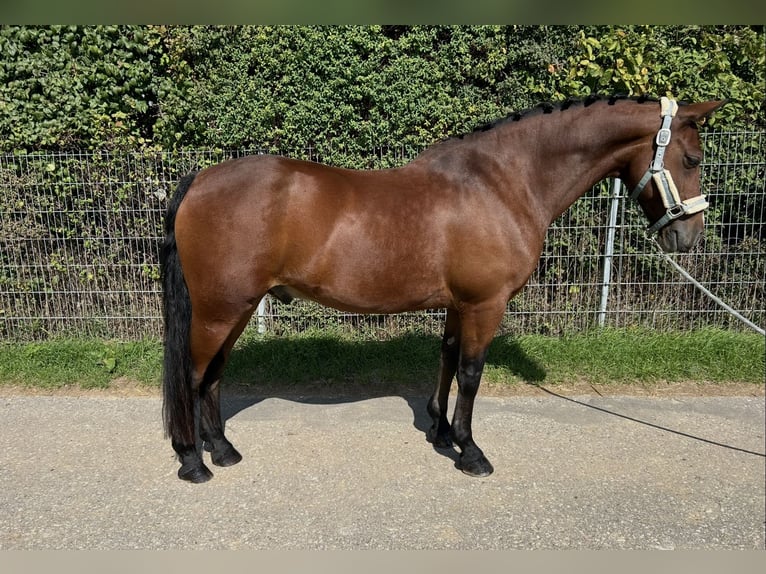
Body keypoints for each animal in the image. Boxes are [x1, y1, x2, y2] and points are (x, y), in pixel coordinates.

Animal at [160, 95, 725, 483]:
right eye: (693, 160)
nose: (689, 237)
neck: (500, 183)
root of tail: (200, 179)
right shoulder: (485, 304)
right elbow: (472, 374)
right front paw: (470, 452)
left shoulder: (460, 305)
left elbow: (448, 359)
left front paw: (440, 432)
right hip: (219, 309)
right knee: (193, 375)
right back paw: (193, 461)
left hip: (234, 308)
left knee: (213, 374)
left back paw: (222, 450)